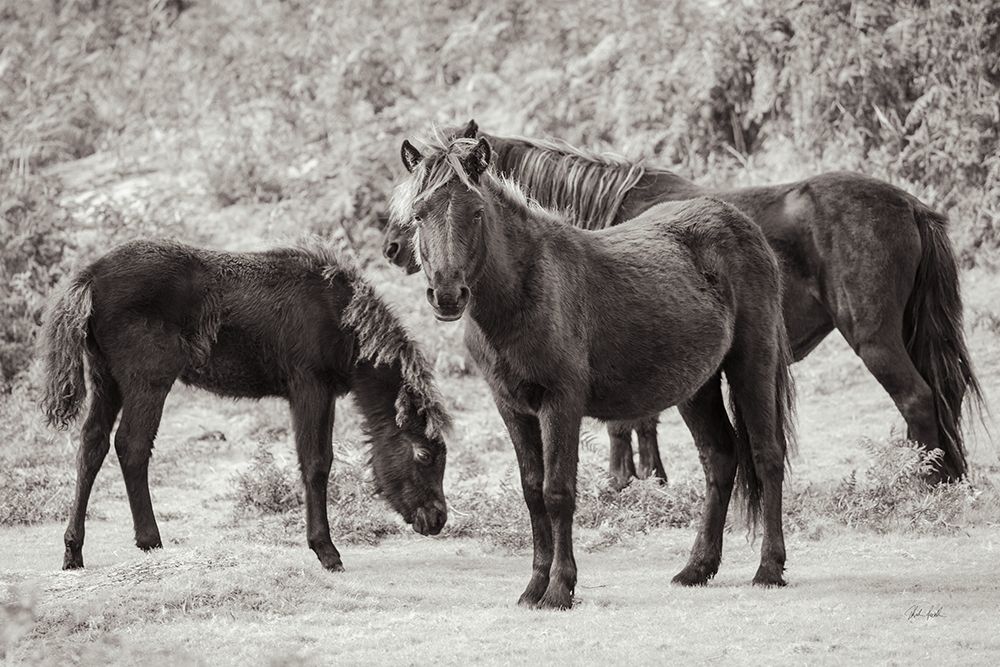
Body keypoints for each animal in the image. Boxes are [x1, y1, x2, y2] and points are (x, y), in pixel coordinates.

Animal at [39, 239, 451, 571]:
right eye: (424, 455)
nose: (437, 519)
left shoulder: (323, 392)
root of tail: (90, 277)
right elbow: (316, 462)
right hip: (148, 380)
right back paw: (149, 539)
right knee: (131, 445)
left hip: (105, 379)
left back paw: (73, 551)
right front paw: (326, 550)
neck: (341, 318)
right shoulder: (309, 385)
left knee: (92, 444)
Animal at [384, 120, 983, 485]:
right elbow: (641, 418)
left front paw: (625, 481)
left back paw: (923, 481)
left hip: (874, 338)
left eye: (468, 209)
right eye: (416, 202)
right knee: (940, 399)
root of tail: (909, 204)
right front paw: (649, 476)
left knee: (918, 400)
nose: (391, 249)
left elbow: (626, 422)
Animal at [392, 136, 795, 609]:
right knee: (719, 458)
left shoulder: (560, 404)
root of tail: (738, 221)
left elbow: (558, 492)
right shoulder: (513, 409)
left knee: (767, 455)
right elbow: (532, 493)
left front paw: (559, 589)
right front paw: (534, 588)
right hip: (698, 386)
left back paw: (768, 569)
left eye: (475, 211)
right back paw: (696, 568)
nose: (447, 296)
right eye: (419, 213)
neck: (526, 290)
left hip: (752, 363)